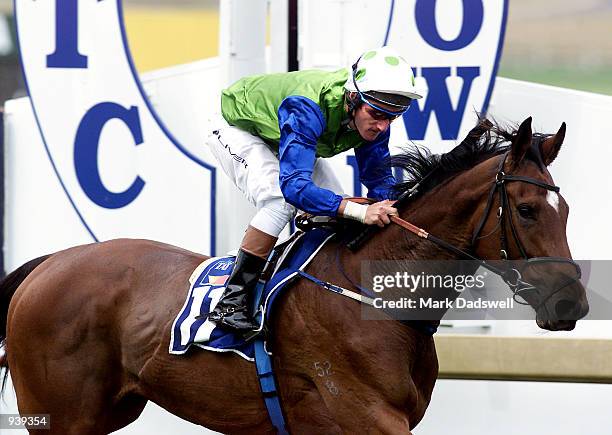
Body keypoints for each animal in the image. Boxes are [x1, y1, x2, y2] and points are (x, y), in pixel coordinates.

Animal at [1, 117, 588, 434]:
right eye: (528, 210)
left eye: (566, 212)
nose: (572, 304)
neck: (372, 297)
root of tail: (49, 263)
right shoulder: (367, 415)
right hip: (59, 414)